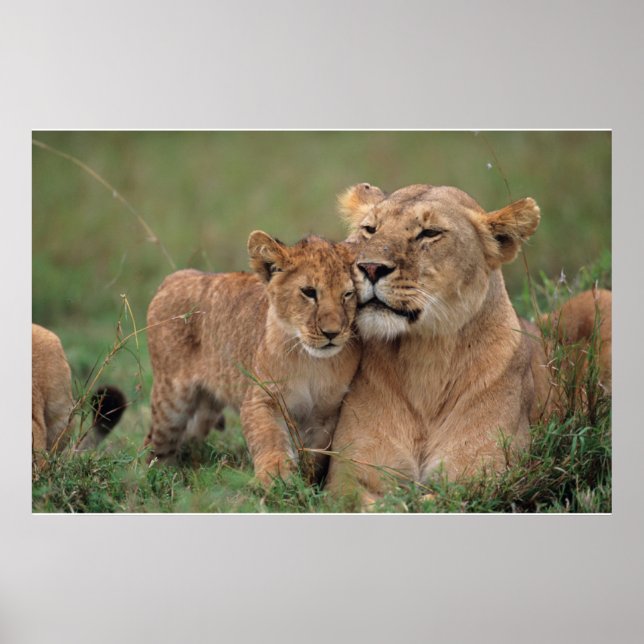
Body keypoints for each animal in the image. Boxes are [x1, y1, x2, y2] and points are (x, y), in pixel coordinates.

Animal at [144, 232, 361, 484]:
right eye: (309, 292)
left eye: (348, 294)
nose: (332, 333)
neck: (312, 362)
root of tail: (175, 277)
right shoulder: (262, 397)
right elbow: (269, 437)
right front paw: (275, 476)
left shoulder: (326, 414)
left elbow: (314, 455)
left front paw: (305, 482)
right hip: (171, 400)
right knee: (154, 443)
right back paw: (151, 477)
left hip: (206, 408)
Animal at [326, 183, 611, 503]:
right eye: (370, 229)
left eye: (429, 233)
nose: (371, 267)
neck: (425, 359)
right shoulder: (349, 476)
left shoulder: (482, 476)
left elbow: (424, 504)